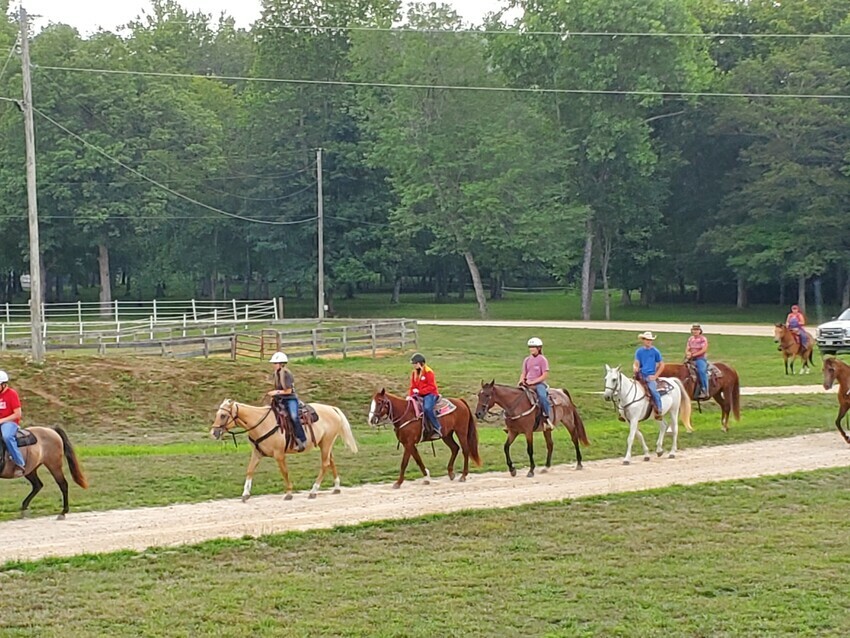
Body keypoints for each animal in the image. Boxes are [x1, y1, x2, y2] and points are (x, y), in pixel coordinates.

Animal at [214, 400, 360, 500]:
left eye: (223, 415)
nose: (214, 432)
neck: (262, 424)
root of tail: (332, 408)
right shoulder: (257, 453)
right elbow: (250, 470)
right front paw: (245, 494)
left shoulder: (279, 455)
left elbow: (284, 472)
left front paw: (289, 493)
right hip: (325, 444)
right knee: (331, 462)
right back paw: (336, 487)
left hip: (326, 443)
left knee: (325, 465)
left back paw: (313, 491)